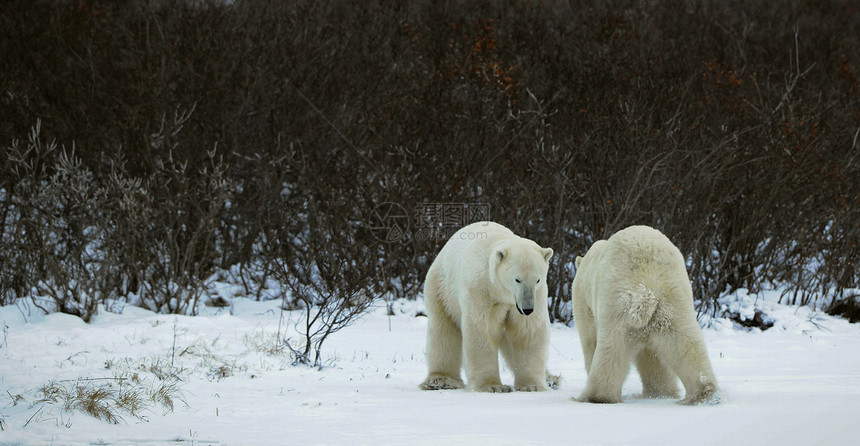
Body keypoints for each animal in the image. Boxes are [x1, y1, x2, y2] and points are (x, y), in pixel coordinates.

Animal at [420, 221, 556, 392]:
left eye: (537, 279)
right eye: (517, 279)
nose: (527, 309)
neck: (502, 293)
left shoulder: (537, 295)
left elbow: (526, 331)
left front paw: (533, 386)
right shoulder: (480, 289)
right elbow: (482, 328)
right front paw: (493, 386)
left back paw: (551, 379)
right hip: (442, 291)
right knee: (443, 332)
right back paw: (441, 380)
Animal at [572, 226, 720, 404]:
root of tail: (647, 286)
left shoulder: (584, 305)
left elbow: (590, 341)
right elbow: (652, 357)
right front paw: (659, 391)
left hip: (617, 305)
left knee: (611, 349)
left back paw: (597, 397)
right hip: (674, 298)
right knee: (686, 343)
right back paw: (703, 393)